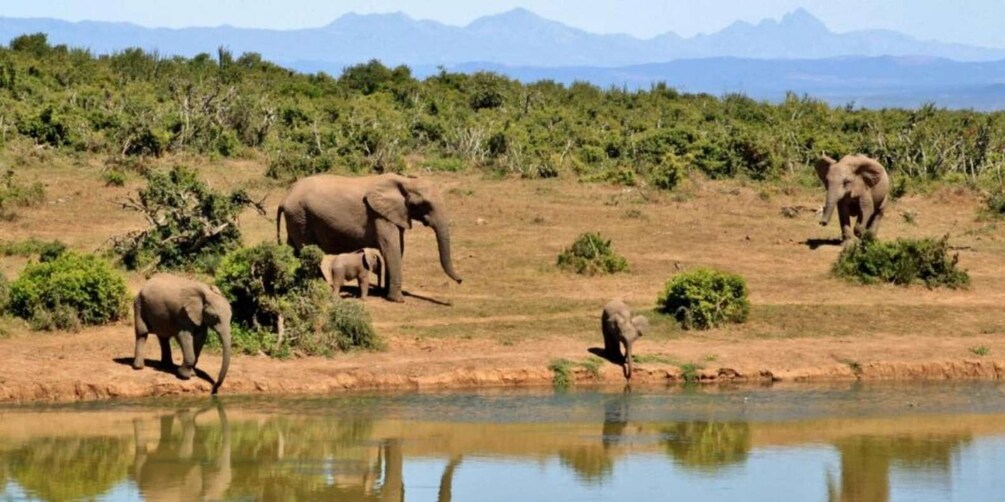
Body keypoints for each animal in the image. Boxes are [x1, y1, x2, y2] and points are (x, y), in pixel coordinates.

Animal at [276, 173, 462, 303]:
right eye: (425, 204)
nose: (461, 281)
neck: (405, 181)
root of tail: (285, 197)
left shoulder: (395, 214)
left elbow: (398, 248)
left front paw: (386, 294)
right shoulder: (379, 216)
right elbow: (391, 248)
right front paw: (398, 300)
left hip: (296, 218)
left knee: (294, 249)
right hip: (301, 216)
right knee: (307, 251)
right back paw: (321, 286)